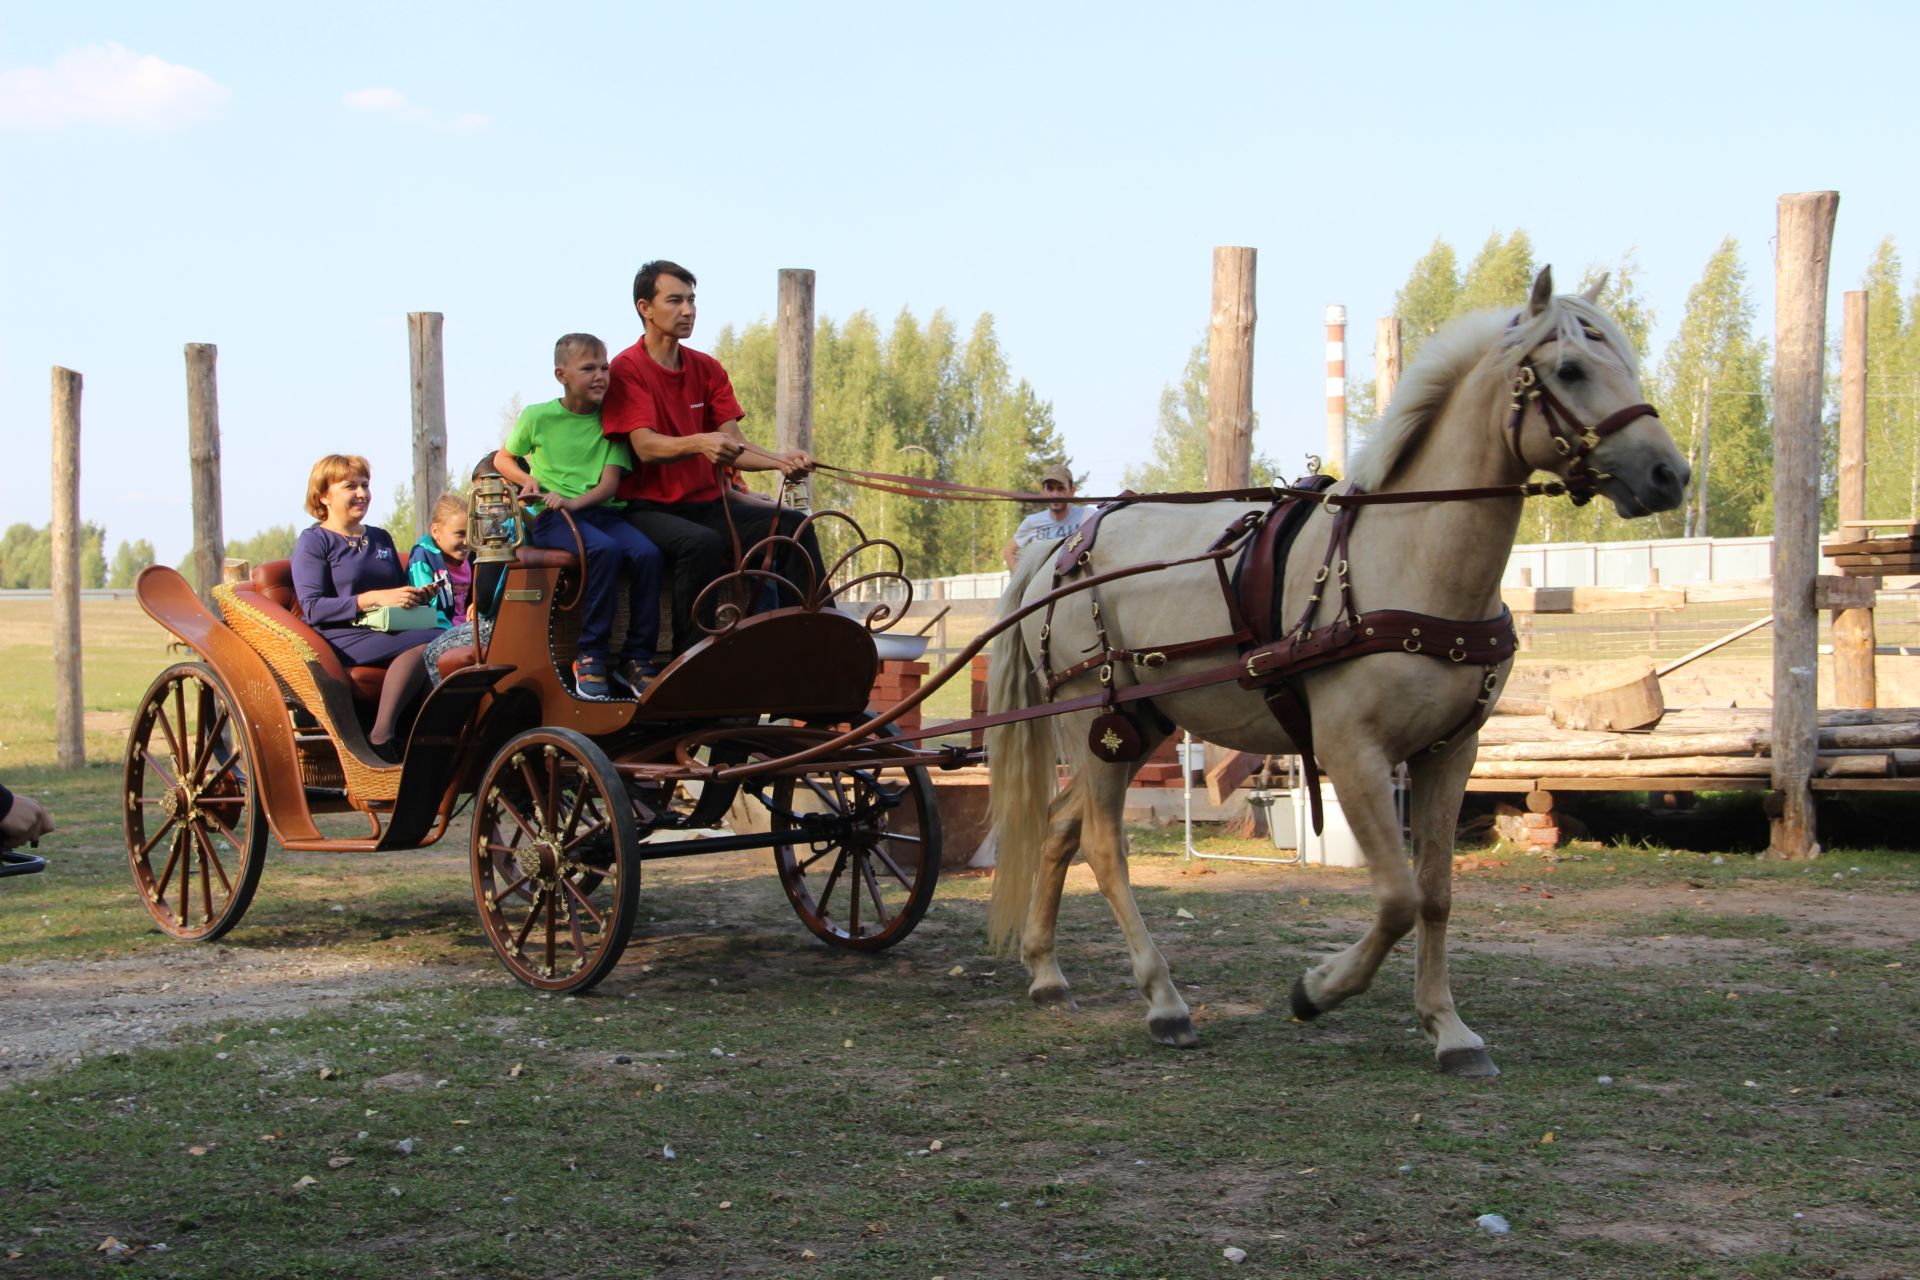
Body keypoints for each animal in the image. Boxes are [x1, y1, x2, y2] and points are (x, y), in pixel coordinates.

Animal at [990, 270, 1681, 1082]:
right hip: (1090, 720)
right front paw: (1319, 989)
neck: (1409, 560)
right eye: (1570, 369)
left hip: (1138, 726)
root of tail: (1062, 549)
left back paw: (1046, 970)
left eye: (1627, 362)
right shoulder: (1354, 752)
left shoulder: (1452, 752)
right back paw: (1164, 1002)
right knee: (1103, 846)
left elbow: (1436, 893)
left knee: (1062, 827)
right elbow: (1397, 898)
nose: (1669, 474)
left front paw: (1448, 1028)